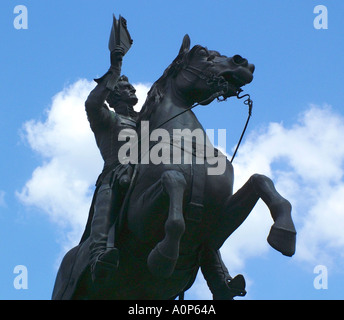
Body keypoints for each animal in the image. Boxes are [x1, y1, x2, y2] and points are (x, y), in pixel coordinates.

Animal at [52, 35, 296, 300]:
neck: (188, 146)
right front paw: (164, 256)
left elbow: (260, 180)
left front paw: (284, 235)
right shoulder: (139, 217)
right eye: (202, 53)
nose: (243, 63)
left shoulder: (217, 223)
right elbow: (174, 182)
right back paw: (103, 260)